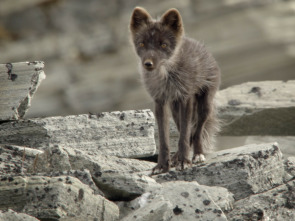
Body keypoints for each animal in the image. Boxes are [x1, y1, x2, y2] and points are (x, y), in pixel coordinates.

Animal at [131, 6, 221, 174]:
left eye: (163, 45)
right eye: (142, 44)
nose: (148, 64)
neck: (166, 76)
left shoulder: (185, 98)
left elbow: (185, 136)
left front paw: (184, 161)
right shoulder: (160, 101)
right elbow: (165, 139)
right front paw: (162, 165)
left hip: (204, 105)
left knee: (196, 132)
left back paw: (197, 154)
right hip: (174, 109)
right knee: (186, 131)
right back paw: (175, 158)